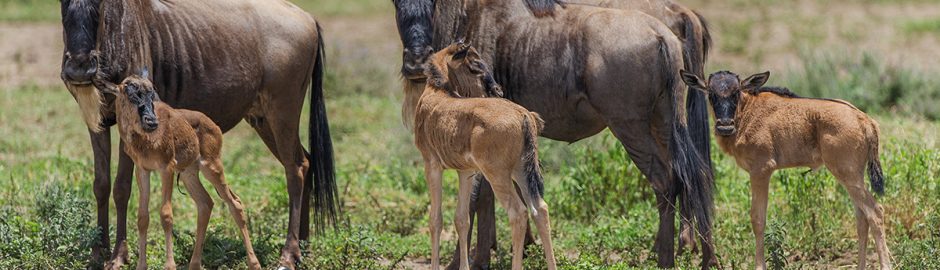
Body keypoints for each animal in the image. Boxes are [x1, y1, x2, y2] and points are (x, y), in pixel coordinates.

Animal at [94, 71, 260, 270]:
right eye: (129, 92)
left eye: (152, 94)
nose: (151, 122)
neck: (146, 140)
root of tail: (213, 125)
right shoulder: (143, 170)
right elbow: (142, 217)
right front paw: (141, 265)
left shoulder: (167, 168)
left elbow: (166, 215)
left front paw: (170, 265)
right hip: (189, 173)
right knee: (206, 203)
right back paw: (194, 264)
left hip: (211, 167)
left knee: (235, 203)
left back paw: (254, 263)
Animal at [406, 42, 560, 270]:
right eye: (474, 66)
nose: (497, 90)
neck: (438, 91)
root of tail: (523, 115)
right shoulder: (466, 172)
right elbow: (462, 219)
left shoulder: (431, 165)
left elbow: (436, 219)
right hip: (520, 171)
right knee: (539, 209)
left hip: (498, 175)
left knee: (519, 212)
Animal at [680, 70, 892, 270]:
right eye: (711, 93)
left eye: (736, 92)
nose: (725, 126)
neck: (746, 111)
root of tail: (864, 119)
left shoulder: (761, 170)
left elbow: (758, 219)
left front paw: (759, 266)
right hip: (851, 177)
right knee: (862, 218)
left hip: (848, 176)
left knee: (876, 212)